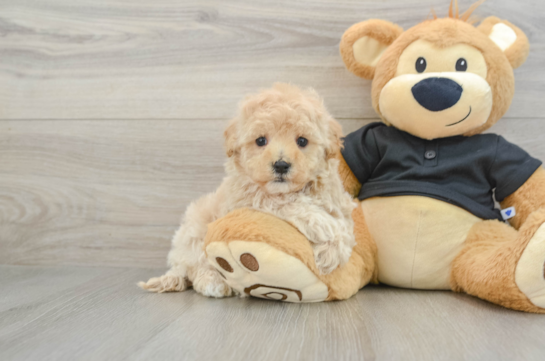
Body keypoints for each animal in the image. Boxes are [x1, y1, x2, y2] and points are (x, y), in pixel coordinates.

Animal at [138, 83, 354, 296]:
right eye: (260, 141)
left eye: (302, 141)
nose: (281, 165)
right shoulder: (249, 199)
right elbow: (285, 202)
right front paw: (322, 224)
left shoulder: (337, 202)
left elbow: (344, 225)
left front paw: (333, 249)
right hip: (195, 230)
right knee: (196, 266)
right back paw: (213, 281)